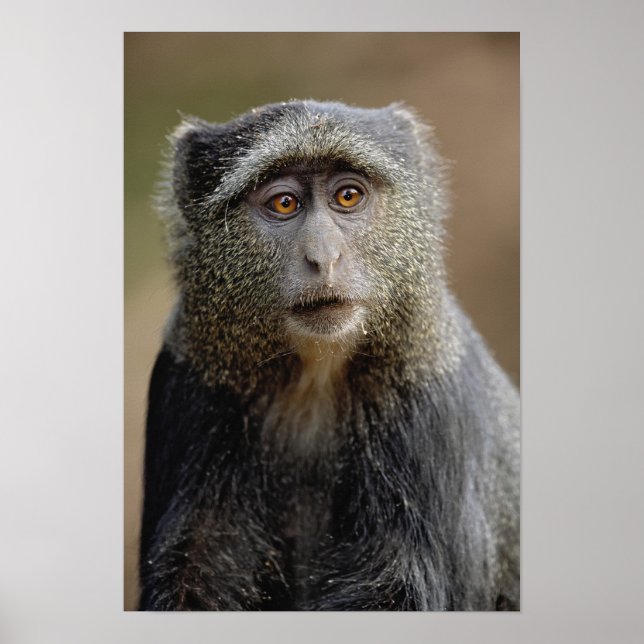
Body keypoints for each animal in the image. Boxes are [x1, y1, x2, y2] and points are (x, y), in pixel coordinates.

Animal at [138, 100, 520, 611]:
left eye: (348, 196)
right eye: (284, 203)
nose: (324, 258)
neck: (313, 379)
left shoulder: (429, 401)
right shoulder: (192, 384)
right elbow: (194, 568)